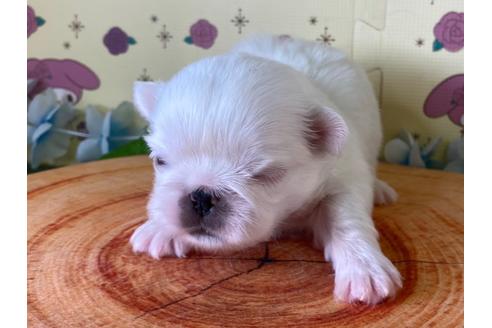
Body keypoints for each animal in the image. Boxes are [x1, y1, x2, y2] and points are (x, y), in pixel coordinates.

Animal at [130, 35, 400, 304]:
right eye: (160, 161)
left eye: (265, 174)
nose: (202, 197)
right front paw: (159, 229)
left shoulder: (345, 176)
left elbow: (346, 218)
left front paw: (364, 269)